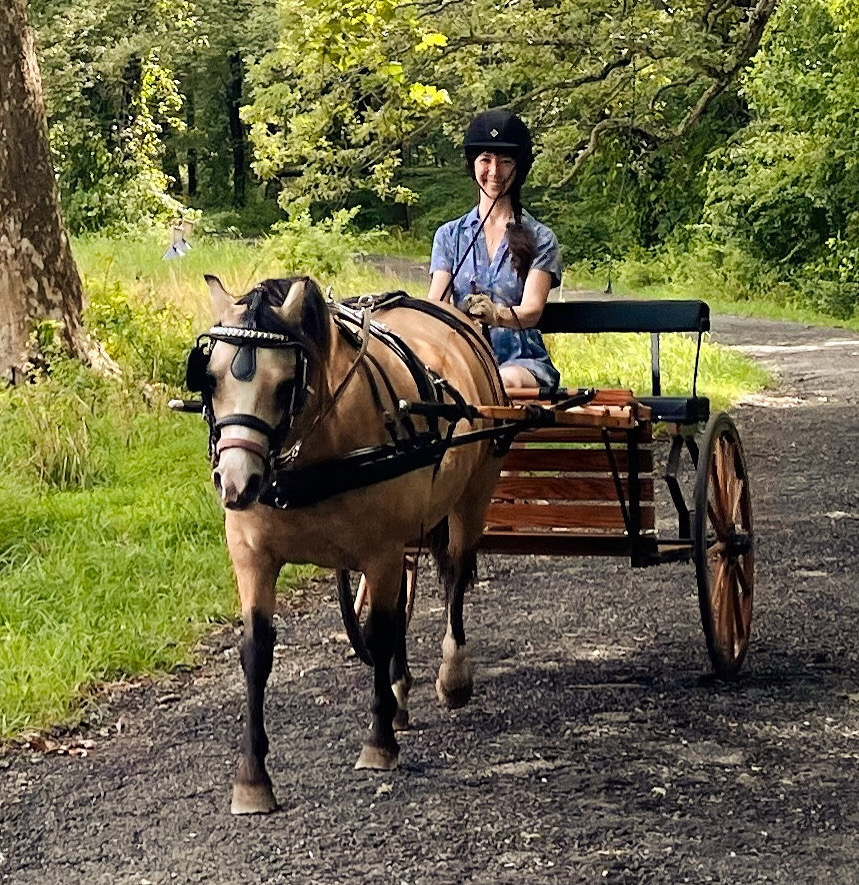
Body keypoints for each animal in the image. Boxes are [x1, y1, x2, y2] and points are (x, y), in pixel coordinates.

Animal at [186, 272, 510, 812]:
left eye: (285, 385)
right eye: (208, 379)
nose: (235, 483)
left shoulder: (379, 551)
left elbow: (378, 632)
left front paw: (379, 742)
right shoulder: (253, 557)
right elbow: (256, 651)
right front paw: (252, 778)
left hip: (471, 496)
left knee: (454, 577)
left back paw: (452, 675)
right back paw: (400, 691)